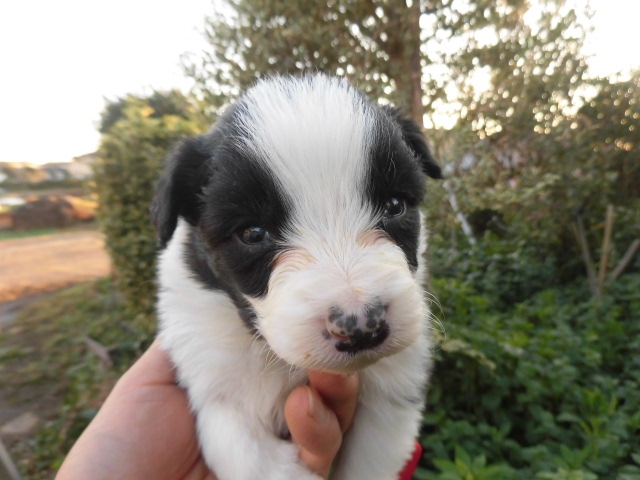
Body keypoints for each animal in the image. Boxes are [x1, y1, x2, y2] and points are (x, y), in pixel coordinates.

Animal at [152, 73, 442, 479]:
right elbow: (243, 451)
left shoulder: (393, 389)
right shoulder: (212, 379)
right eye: (252, 233)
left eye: (395, 205)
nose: (361, 326)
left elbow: (372, 455)